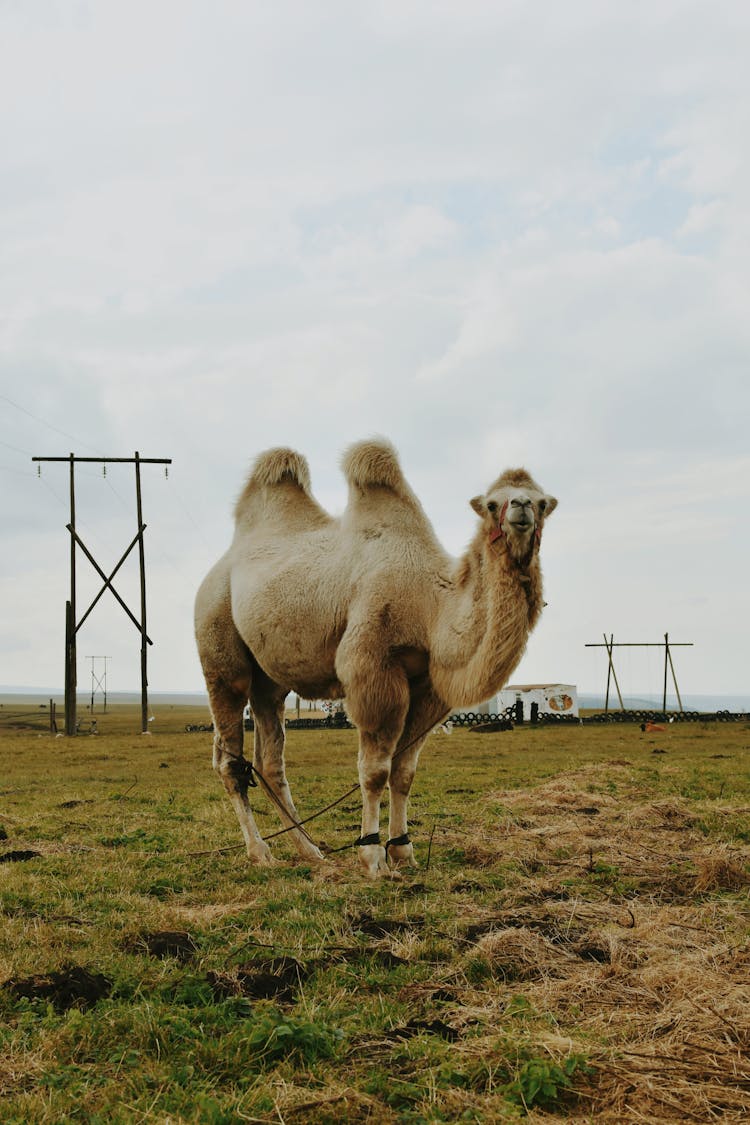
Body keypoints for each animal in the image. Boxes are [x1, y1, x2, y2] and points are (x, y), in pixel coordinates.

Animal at [193, 438, 557, 877]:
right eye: (491, 503)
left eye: (542, 501)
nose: (520, 508)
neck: (429, 604)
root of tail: (221, 566)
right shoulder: (373, 668)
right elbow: (375, 771)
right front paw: (372, 857)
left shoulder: (427, 687)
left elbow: (404, 771)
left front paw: (403, 851)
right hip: (218, 640)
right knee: (230, 755)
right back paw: (260, 852)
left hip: (270, 680)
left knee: (269, 758)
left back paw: (309, 850)